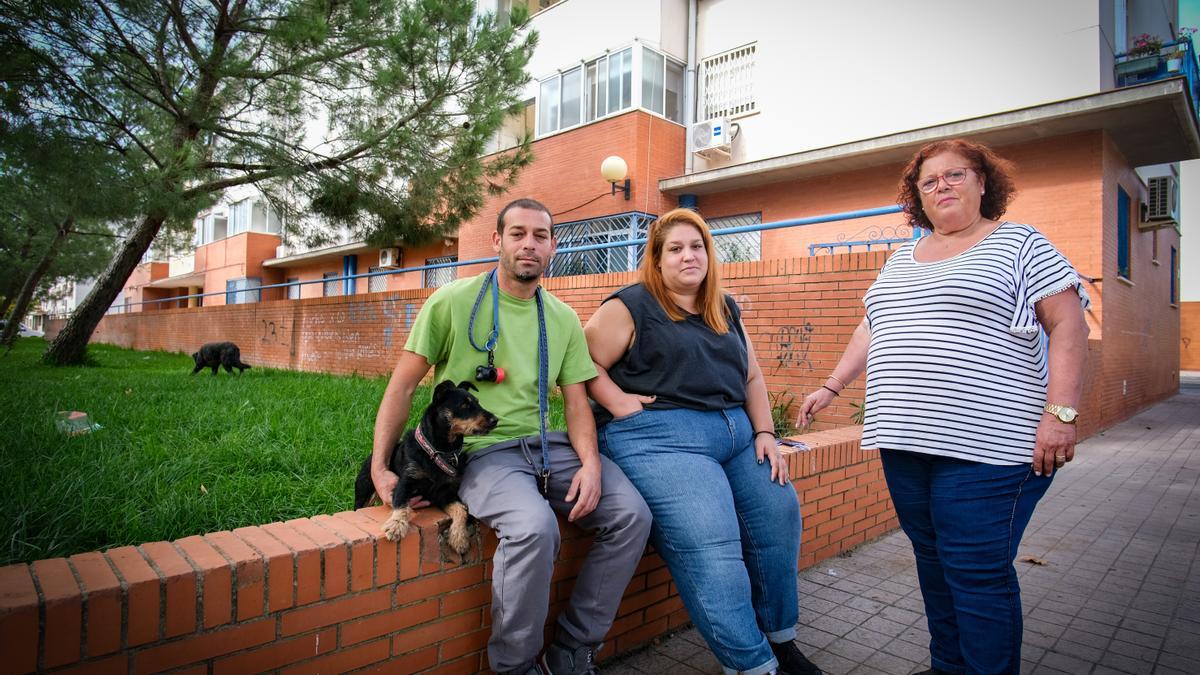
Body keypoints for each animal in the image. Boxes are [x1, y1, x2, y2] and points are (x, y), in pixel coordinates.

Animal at [350, 379, 496, 552]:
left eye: (477, 402)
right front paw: (396, 527)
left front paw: (459, 538)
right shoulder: (405, 482)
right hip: (363, 493)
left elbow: (462, 509)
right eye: (464, 405)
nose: (495, 420)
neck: (439, 451)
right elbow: (401, 503)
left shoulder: (444, 493)